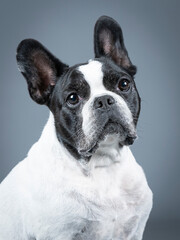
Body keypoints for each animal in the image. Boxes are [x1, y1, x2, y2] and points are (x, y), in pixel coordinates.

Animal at [0, 15, 153, 239]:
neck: (102, 164)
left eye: (124, 84)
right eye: (73, 98)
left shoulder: (134, 231)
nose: (104, 100)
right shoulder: (59, 233)